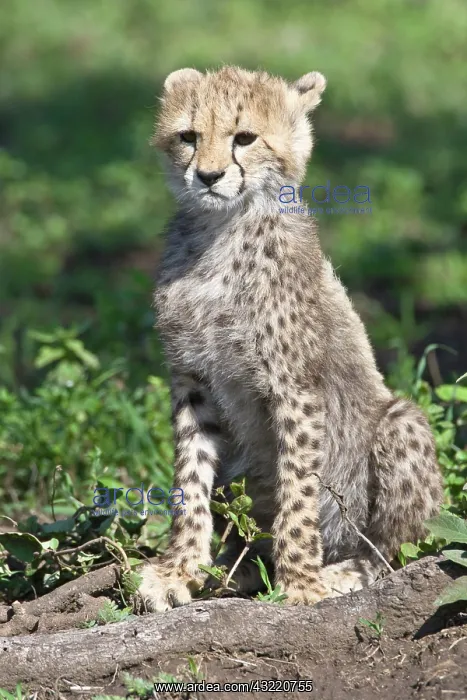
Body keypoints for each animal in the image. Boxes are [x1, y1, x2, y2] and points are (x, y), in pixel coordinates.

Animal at [137, 66, 443, 611]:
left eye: (244, 138)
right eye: (189, 137)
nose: (208, 176)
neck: (221, 231)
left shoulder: (294, 387)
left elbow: (298, 492)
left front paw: (301, 584)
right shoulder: (191, 380)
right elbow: (189, 480)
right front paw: (180, 570)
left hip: (399, 424)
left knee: (394, 548)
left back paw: (340, 573)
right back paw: (234, 571)